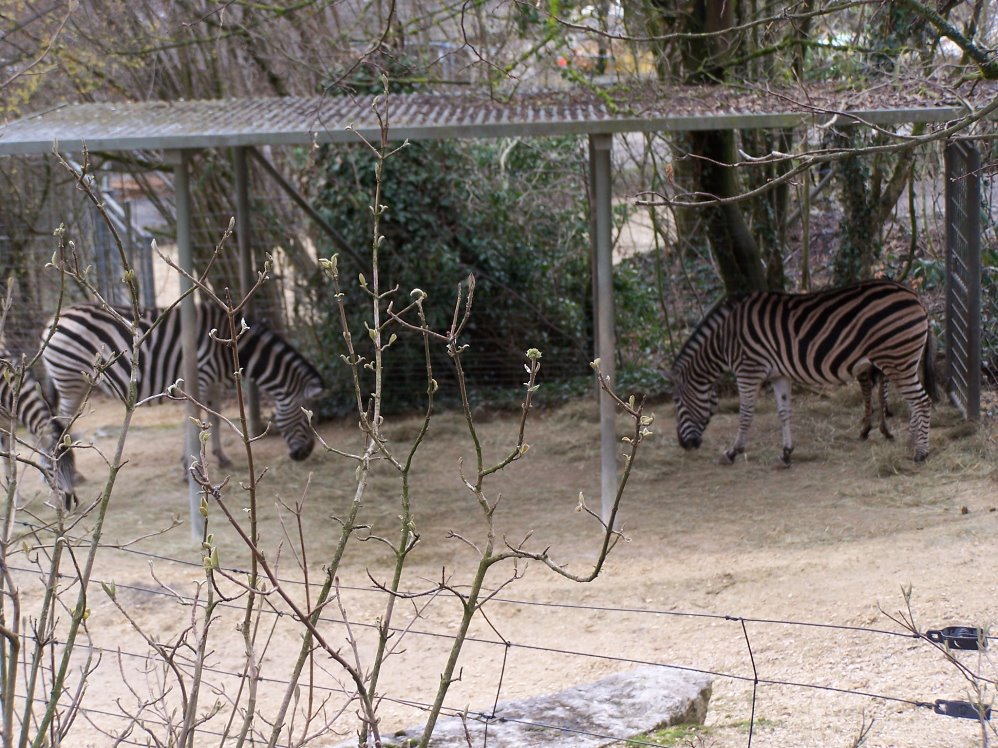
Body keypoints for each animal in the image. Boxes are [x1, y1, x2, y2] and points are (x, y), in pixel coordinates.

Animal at [1, 351, 76, 508]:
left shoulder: (8, 423)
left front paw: (14, 497)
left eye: (73, 464)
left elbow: (9, 458)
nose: (69, 502)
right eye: (54, 468)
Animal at [41, 302, 324, 470]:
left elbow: (215, 418)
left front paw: (220, 458)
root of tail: (57, 317)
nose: (306, 454)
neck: (229, 346)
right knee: (60, 421)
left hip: (74, 381)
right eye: (307, 418)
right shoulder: (201, 378)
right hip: (70, 379)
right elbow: (195, 418)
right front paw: (191, 463)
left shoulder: (214, 384)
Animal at [671, 279, 937, 465]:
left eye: (677, 403)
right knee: (915, 403)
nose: (684, 445)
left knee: (922, 402)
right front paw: (786, 453)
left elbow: (745, 414)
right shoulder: (778, 375)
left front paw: (732, 452)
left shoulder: (749, 370)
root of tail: (915, 295)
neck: (725, 340)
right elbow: (784, 412)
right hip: (904, 362)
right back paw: (911, 445)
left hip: (897, 360)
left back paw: (921, 453)